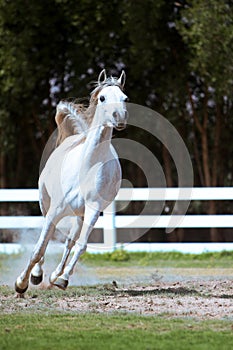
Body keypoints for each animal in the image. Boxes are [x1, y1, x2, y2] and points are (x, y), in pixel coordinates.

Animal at [15, 69, 128, 294]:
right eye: (103, 98)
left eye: (124, 98)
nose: (119, 117)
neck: (88, 166)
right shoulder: (55, 211)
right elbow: (39, 248)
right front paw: (22, 283)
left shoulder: (93, 210)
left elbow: (80, 245)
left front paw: (62, 279)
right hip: (45, 202)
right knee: (47, 238)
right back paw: (37, 275)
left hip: (79, 215)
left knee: (69, 242)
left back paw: (55, 275)